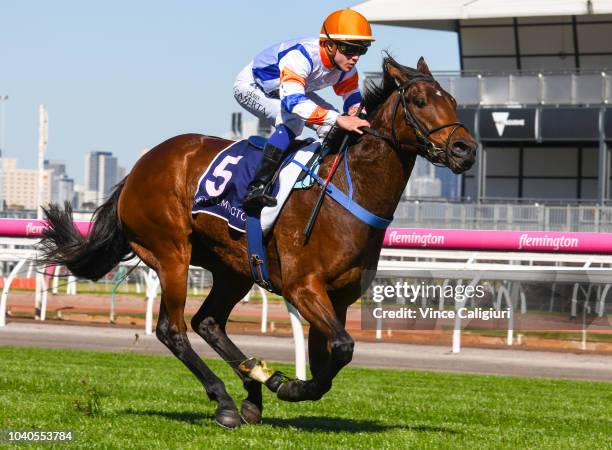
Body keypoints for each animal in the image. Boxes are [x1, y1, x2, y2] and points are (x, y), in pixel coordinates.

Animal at [39, 56, 478, 428]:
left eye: (453, 101)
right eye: (420, 101)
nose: (466, 149)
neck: (346, 190)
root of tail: (138, 169)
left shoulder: (338, 297)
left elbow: (331, 356)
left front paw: (282, 381)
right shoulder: (303, 287)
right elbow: (341, 348)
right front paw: (291, 385)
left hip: (233, 267)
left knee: (208, 322)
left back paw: (253, 386)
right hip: (170, 252)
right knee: (173, 329)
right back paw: (225, 401)